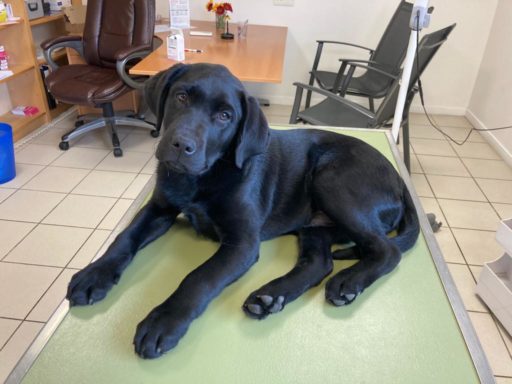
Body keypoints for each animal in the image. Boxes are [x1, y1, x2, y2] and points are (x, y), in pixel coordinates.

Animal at [67, 63, 420, 360]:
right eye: (181, 97)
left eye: (225, 116)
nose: (181, 146)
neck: (202, 177)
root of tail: (400, 179)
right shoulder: (158, 208)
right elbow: (124, 238)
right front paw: (94, 274)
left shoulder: (242, 243)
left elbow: (199, 277)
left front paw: (163, 321)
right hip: (314, 224)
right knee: (319, 262)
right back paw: (271, 297)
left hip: (332, 180)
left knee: (387, 251)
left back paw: (347, 283)